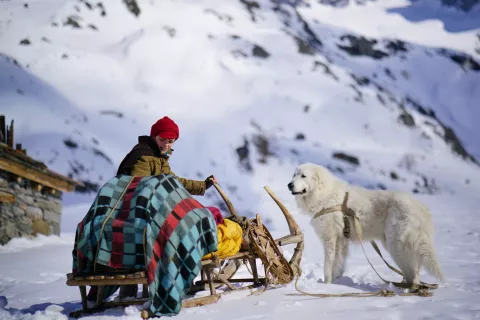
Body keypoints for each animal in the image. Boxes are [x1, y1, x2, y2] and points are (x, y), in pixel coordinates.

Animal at [286, 164, 444, 284]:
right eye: (294, 175)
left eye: (303, 176)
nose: (289, 184)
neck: (324, 194)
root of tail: (421, 209)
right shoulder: (342, 241)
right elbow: (338, 264)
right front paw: (336, 282)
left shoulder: (330, 239)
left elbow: (328, 266)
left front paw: (327, 284)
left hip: (396, 245)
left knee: (413, 274)